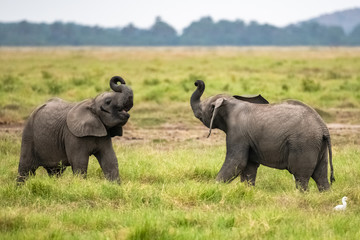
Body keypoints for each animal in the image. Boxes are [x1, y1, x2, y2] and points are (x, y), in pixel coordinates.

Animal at [191, 80, 334, 191]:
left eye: (204, 108)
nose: (197, 82)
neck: (231, 103)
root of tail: (323, 127)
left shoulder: (237, 133)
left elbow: (236, 162)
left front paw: (213, 187)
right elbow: (249, 167)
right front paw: (247, 191)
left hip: (304, 144)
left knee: (301, 176)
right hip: (318, 145)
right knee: (321, 176)